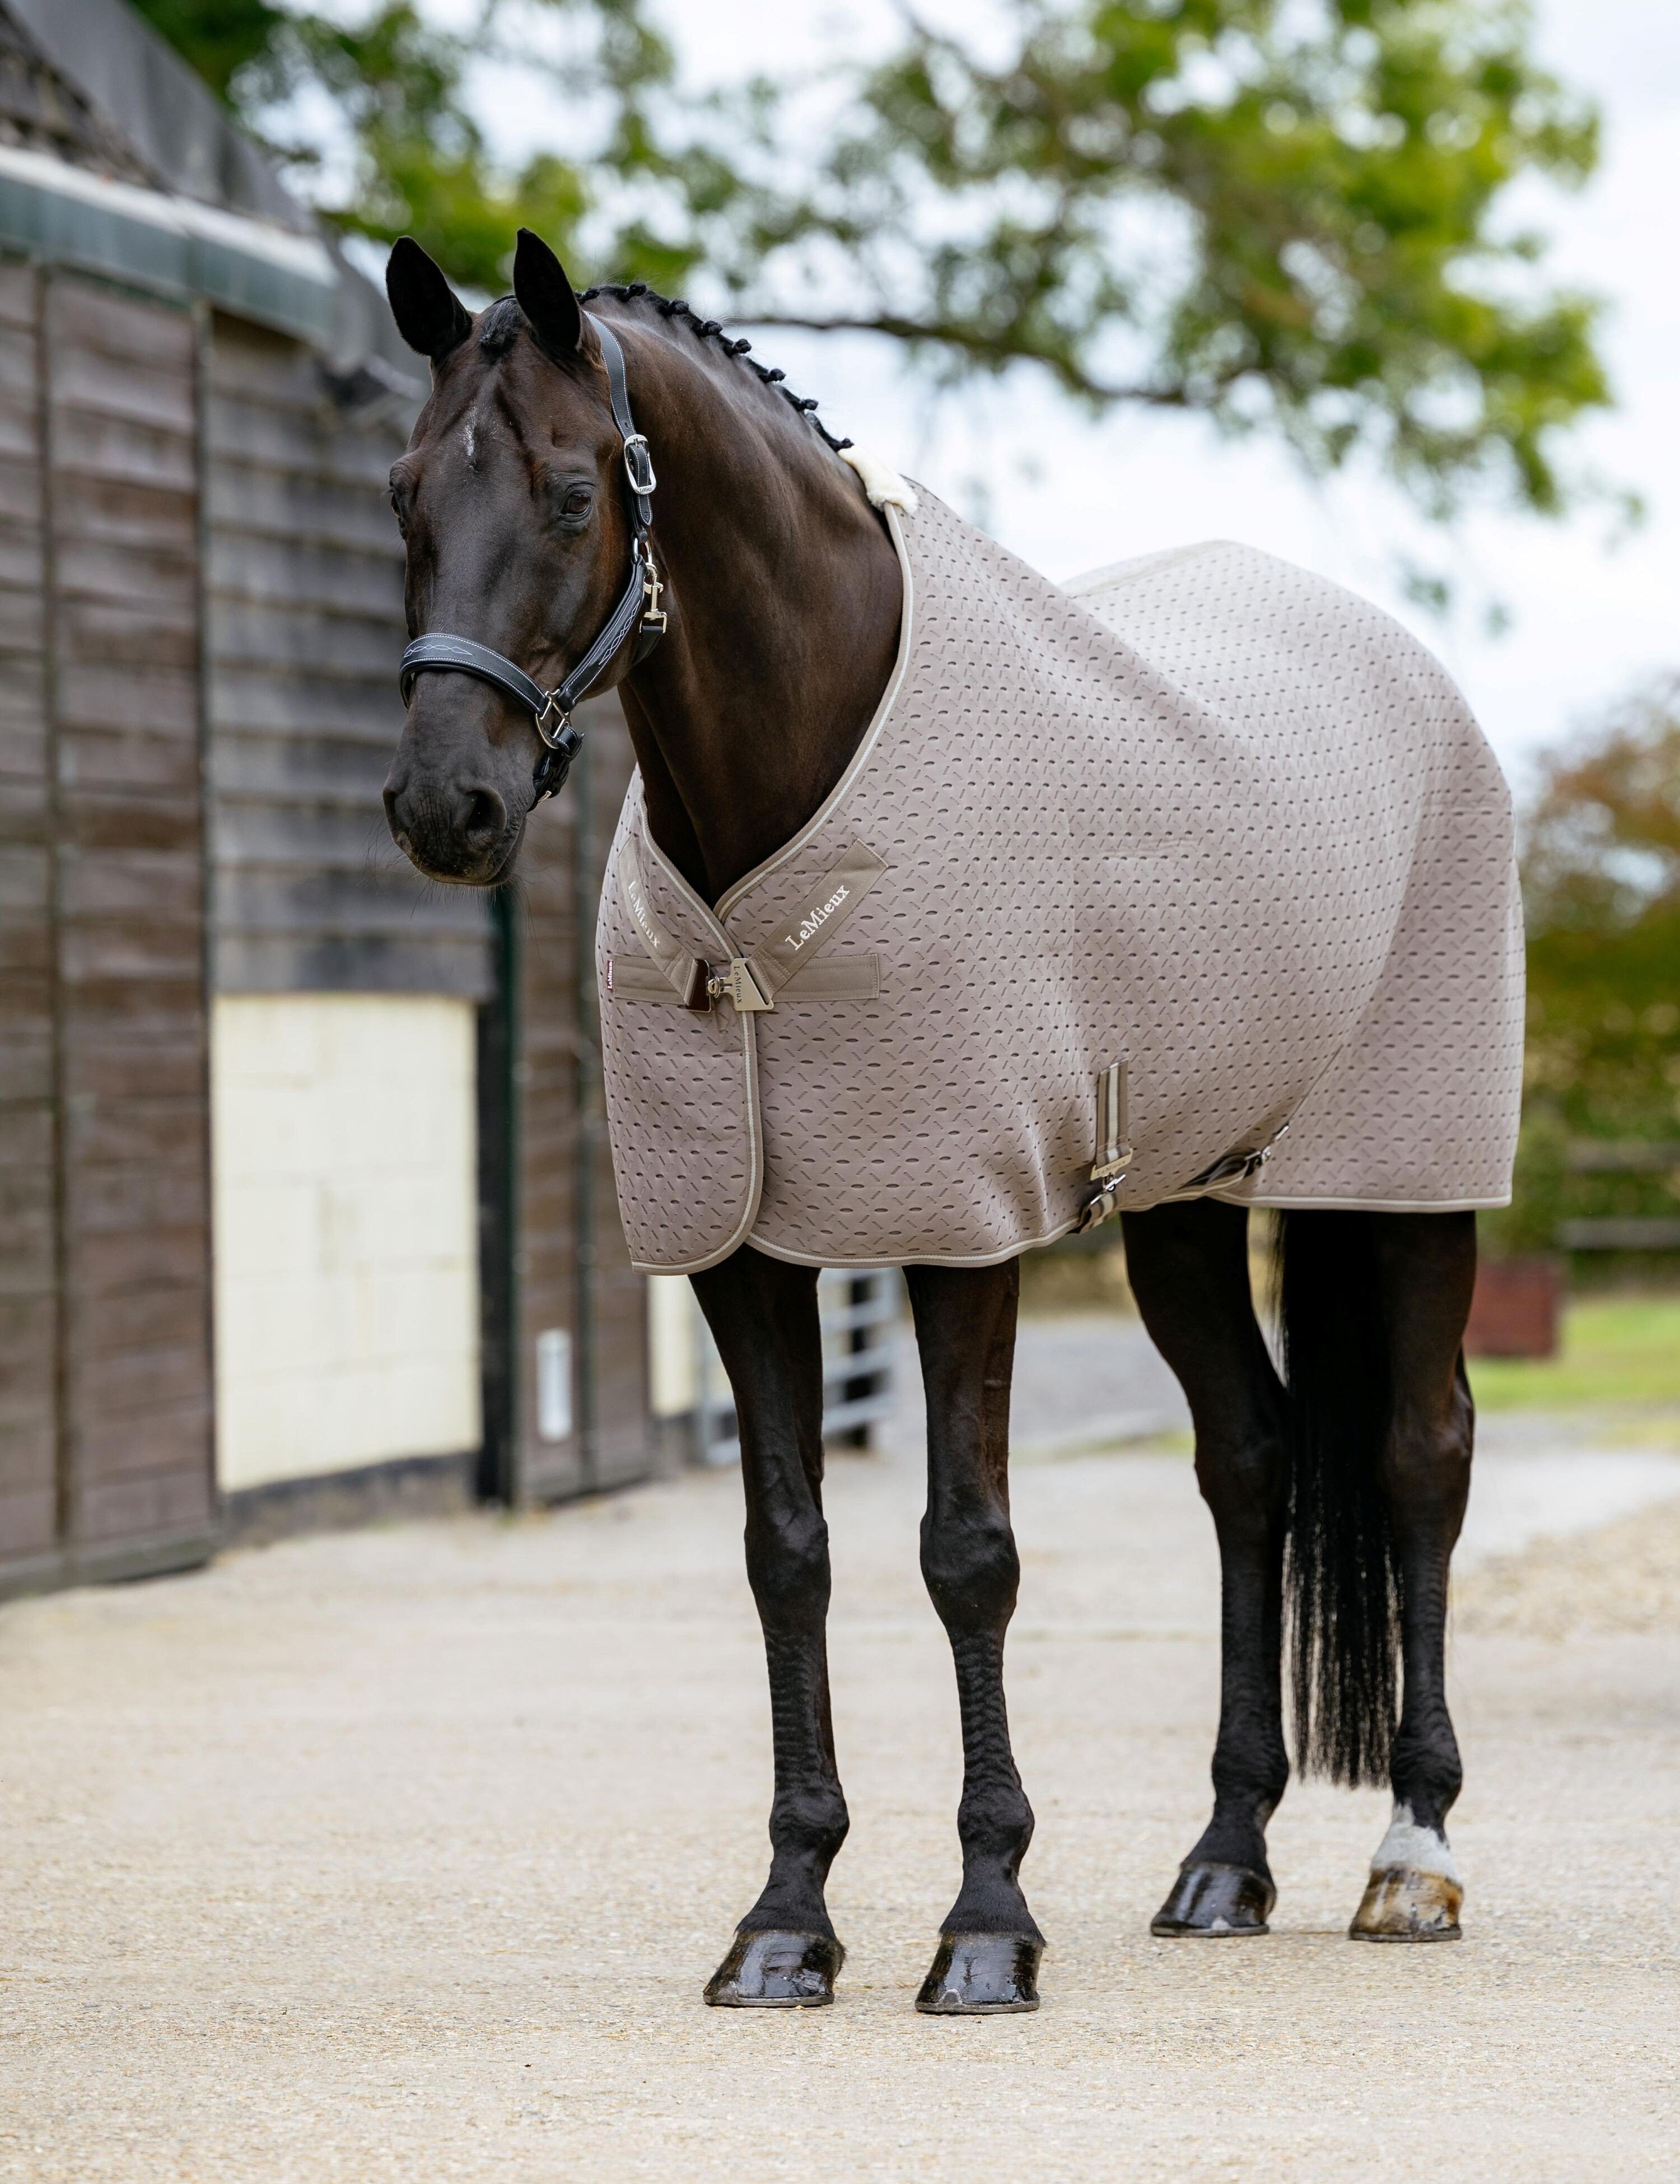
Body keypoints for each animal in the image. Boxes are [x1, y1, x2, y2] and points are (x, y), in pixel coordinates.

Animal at [380, 226, 1516, 2014]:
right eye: (406, 492)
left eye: (569, 493)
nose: (447, 806)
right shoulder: (741, 1248)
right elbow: (788, 1551)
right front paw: (784, 1921)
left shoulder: (958, 1225)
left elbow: (964, 1550)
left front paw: (985, 1924)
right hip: (1182, 1204)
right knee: (1250, 1463)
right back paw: (1225, 1857)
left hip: (1403, 1185)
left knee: (1419, 1459)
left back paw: (1412, 1854)